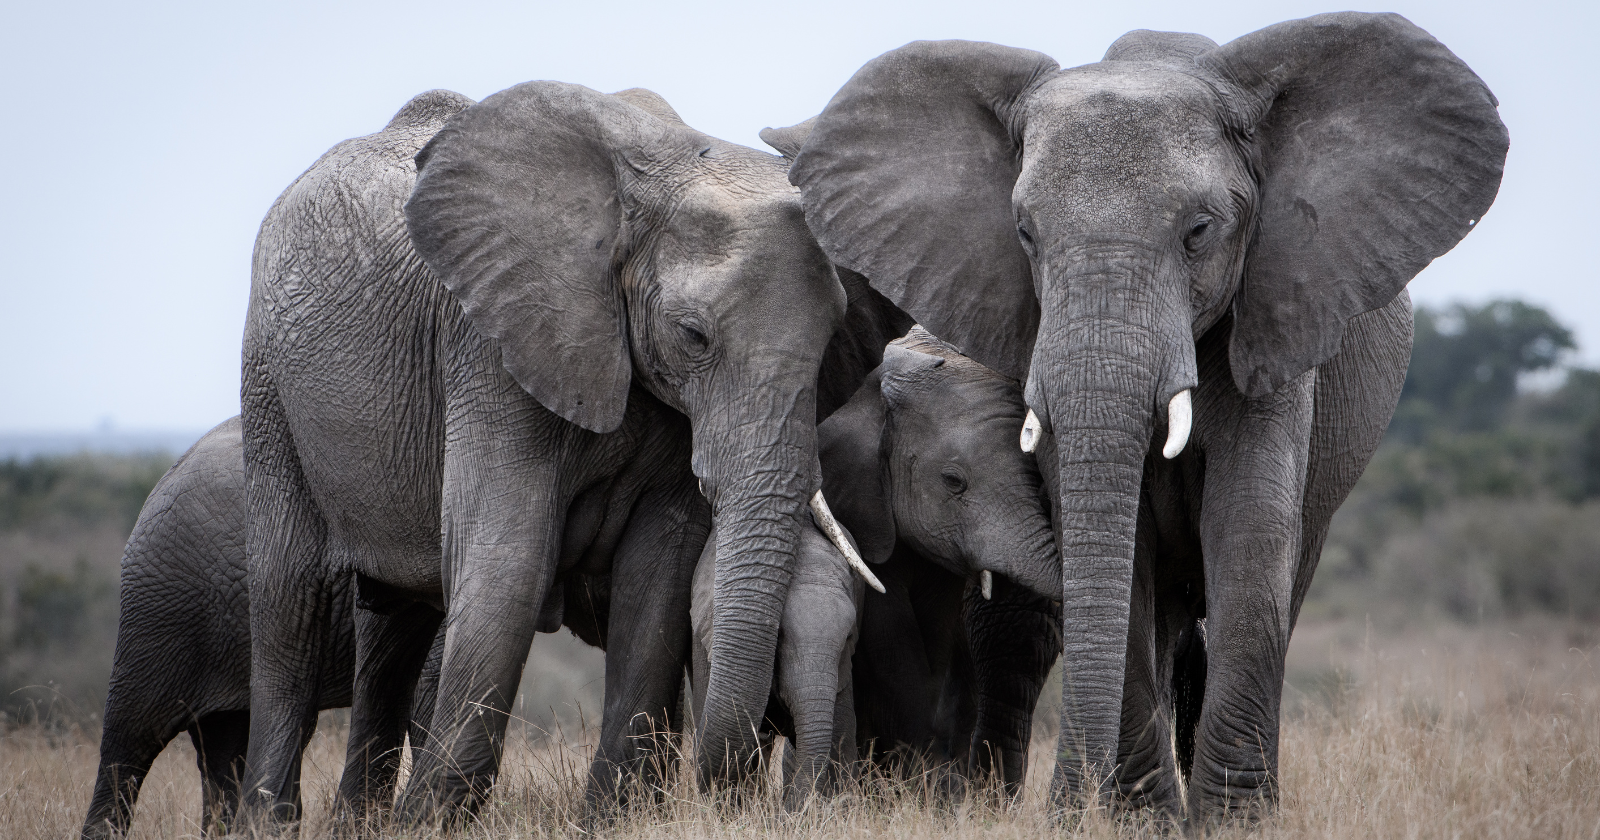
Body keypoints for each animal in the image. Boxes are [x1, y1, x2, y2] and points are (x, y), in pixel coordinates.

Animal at [241, 83, 907, 825]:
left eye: (830, 339)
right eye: (693, 336)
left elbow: (659, 575)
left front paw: (609, 819)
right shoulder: (490, 343)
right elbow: (510, 561)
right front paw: (431, 825)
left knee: (393, 624)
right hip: (270, 383)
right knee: (289, 608)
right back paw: (270, 821)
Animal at [783, 12, 1507, 821]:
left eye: (1199, 231)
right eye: (1025, 233)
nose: (1071, 806)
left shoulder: (1276, 309)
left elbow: (1250, 524)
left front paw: (1234, 823)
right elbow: (1113, 535)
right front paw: (1137, 819)